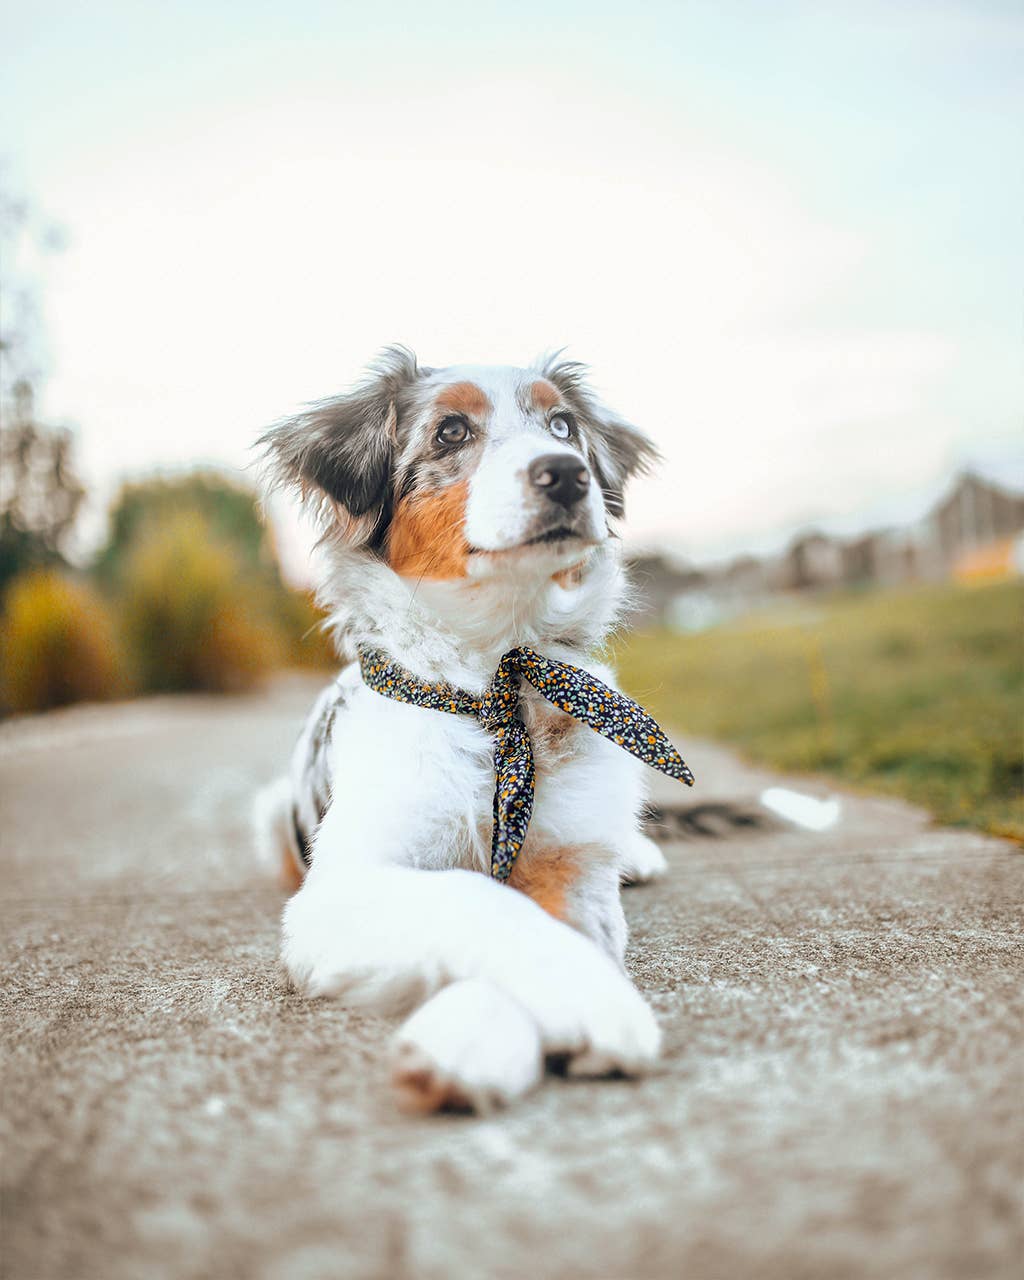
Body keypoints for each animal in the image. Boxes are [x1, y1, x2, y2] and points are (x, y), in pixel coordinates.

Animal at [253, 348, 686, 1111]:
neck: (495, 685)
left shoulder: (575, 872)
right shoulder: (337, 890)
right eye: (450, 431)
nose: (567, 474)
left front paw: (475, 1035)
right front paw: (587, 1006)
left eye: (563, 426)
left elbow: (554, 917)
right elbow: (475, 896)